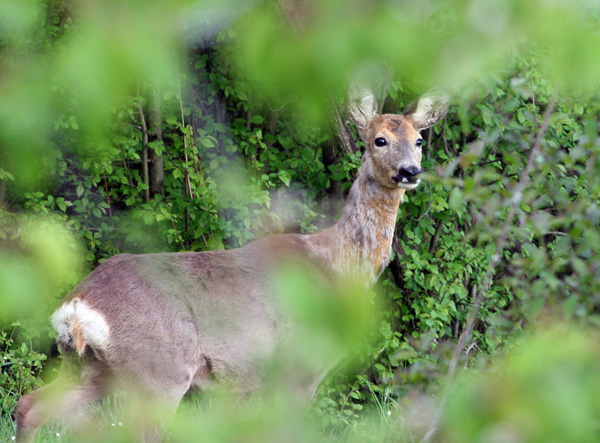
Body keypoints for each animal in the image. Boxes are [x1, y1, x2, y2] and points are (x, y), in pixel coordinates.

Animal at [14, 88, 448, 442]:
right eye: (380, 139)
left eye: (419, 140)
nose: (410, 172)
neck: (337, 265)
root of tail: (75, 307)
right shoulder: (300, 368)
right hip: (159, 369)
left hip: (91, 368)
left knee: (28, 405)